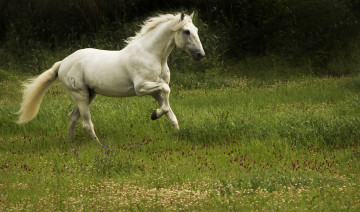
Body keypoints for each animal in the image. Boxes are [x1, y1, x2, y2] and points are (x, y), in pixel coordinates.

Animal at [16, 12, 205, 142]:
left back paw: (69, 144)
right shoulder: (141, 88)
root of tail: (63, 63)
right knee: (86, 123)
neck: (151, 55)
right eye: (186, 31)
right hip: (81, 95)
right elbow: (167, 91)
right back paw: (99, 146)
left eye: (196, 30)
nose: (200, 55)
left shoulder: (155, 91)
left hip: (88, 95)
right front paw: (154, 114)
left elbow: (170, 113)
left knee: (73, 118)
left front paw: (177, 134)